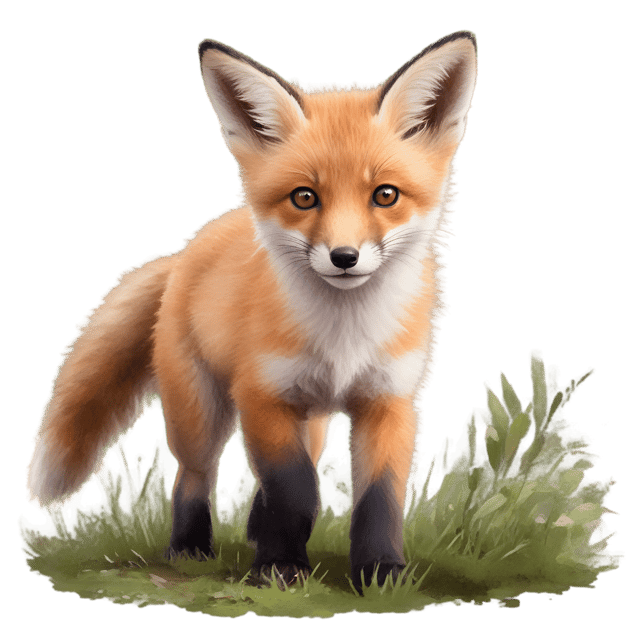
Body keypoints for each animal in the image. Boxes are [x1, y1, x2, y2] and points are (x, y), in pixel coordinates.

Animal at [26, 31, 478, 591]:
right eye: (304, 197)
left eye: (385, 195)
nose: (344, 257)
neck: (344, 336)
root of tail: (187, 250)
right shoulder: (264, 395)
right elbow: (294, 491)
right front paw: (281, 567)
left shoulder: (389, 400)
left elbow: (378, 498)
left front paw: (381, 573)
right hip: (201, 413)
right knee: (194, 477)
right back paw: (190, 547)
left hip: (313, 423)